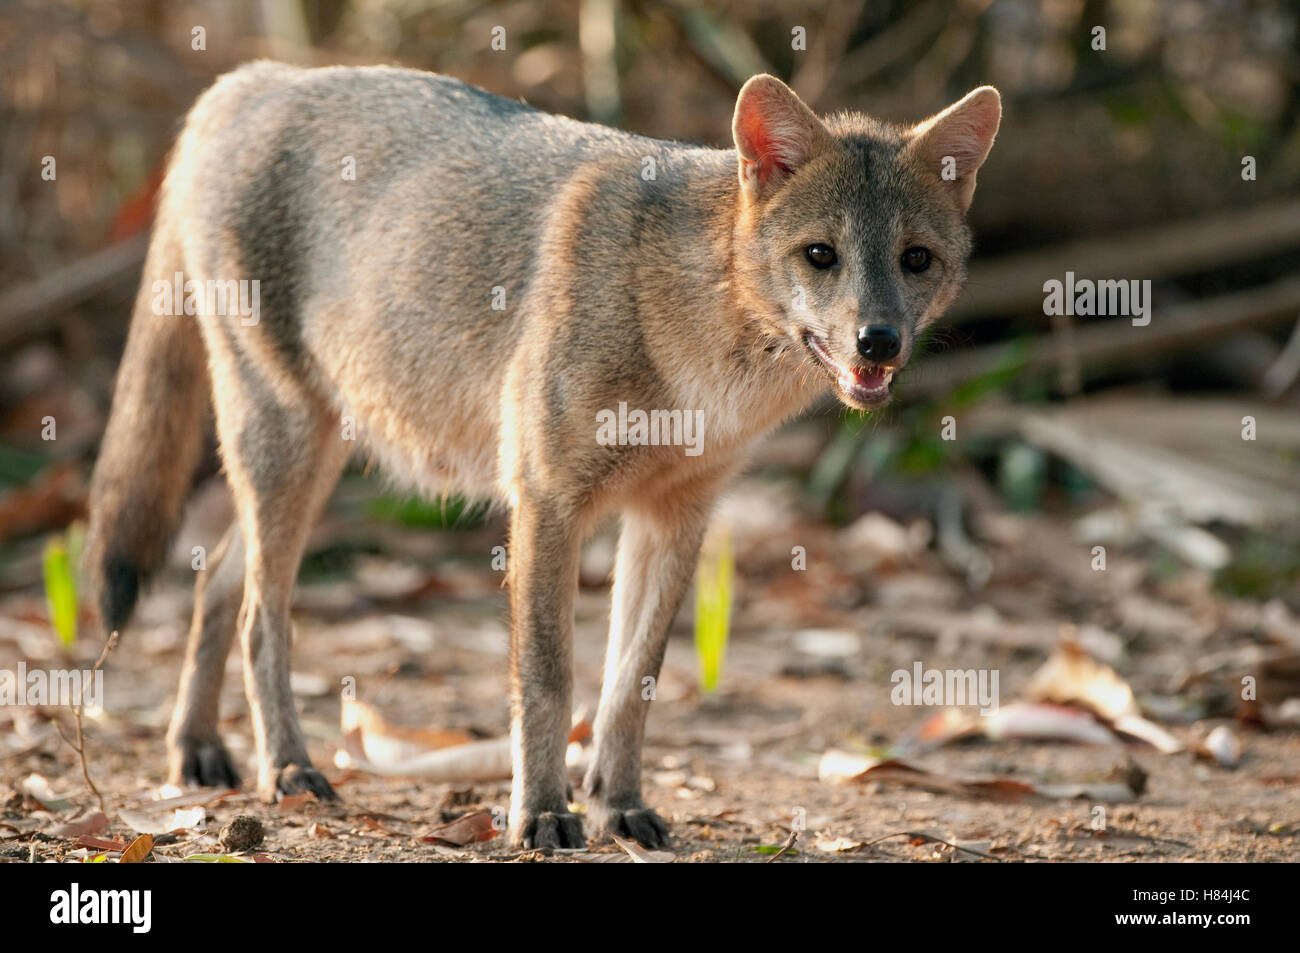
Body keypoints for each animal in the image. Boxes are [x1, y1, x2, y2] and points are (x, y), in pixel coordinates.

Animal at [85, 61, 1000, 850]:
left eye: (915, 260)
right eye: (821, 255)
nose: (878, 341)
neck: (688, 345)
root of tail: (256, 77)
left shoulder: (674, 517)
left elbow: (631, 683)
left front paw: (619, 805)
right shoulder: (547, 501)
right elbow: (549, 682)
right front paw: (542, 814)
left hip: (317, 458)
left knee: (215, 580)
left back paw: (197, 751)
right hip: (286, 446)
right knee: (257, 614)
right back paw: (286, 767)